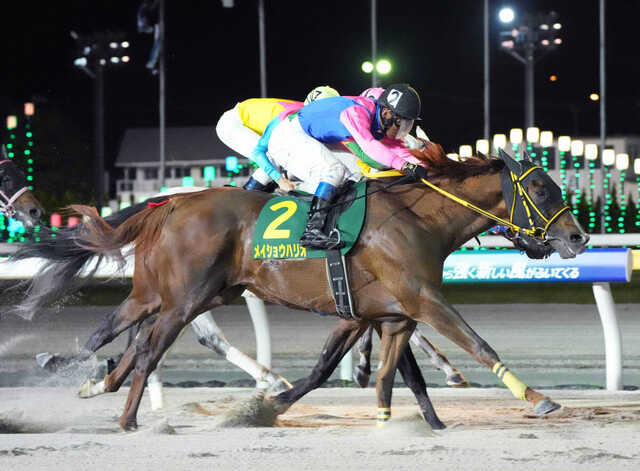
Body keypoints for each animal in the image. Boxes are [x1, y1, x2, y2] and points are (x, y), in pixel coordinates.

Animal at [10, 143, 588, 430]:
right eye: (541, 188)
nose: (578, 236)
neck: (418, 217)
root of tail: (171, 201)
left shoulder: (377, 312)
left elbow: (350, 370)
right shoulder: (423, 300)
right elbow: (477, 342)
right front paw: (538, 398)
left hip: (170, 293)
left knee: (120, 332)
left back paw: (93, 382)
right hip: (184, 298)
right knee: (148, 350)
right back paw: (127, 418)